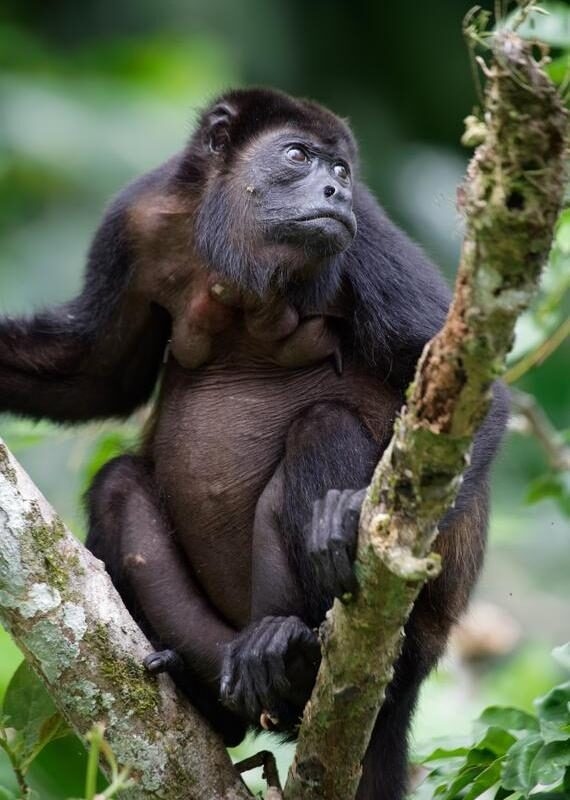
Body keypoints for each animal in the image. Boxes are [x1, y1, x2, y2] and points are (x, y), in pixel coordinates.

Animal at [0, 88, 509, 800]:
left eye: (343, 171)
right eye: (297, 156)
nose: (334, 190)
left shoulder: (366, 235)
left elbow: (476, 394)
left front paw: (350, 519)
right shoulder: (134, 218)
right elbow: (95, 374)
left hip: (413, 635)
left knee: (323, 425)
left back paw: (292, 652)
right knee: (120, 484)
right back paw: (221, 698)